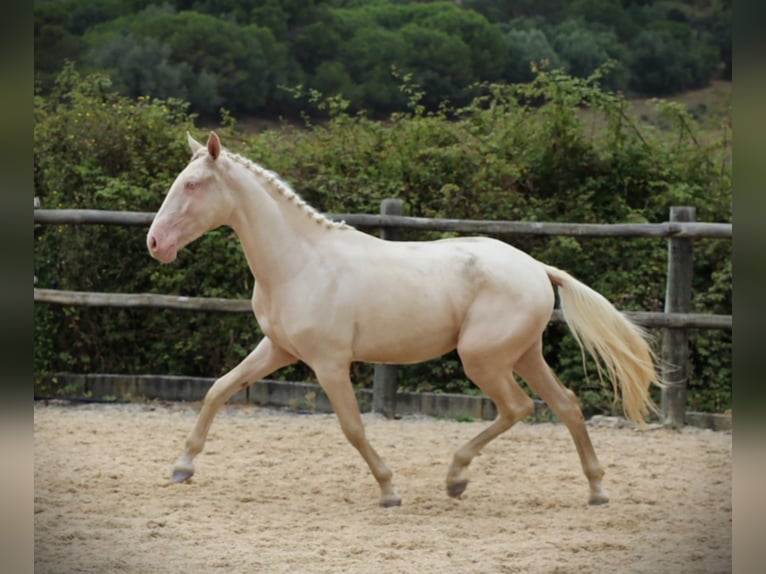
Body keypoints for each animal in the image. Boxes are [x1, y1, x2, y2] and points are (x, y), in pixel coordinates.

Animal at [147, 134, 664, 508]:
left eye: (192, 185)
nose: (155, 243)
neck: (300, 261)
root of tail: (538, 268)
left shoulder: (329, 362)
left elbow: (353, 427)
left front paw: (390, 490)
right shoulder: (278, 348)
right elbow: (218, 389)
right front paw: (181, 467)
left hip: (483, 359)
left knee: (518, 407)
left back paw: (456, 478)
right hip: (523, 354)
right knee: (566, 404)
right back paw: (596, 490)